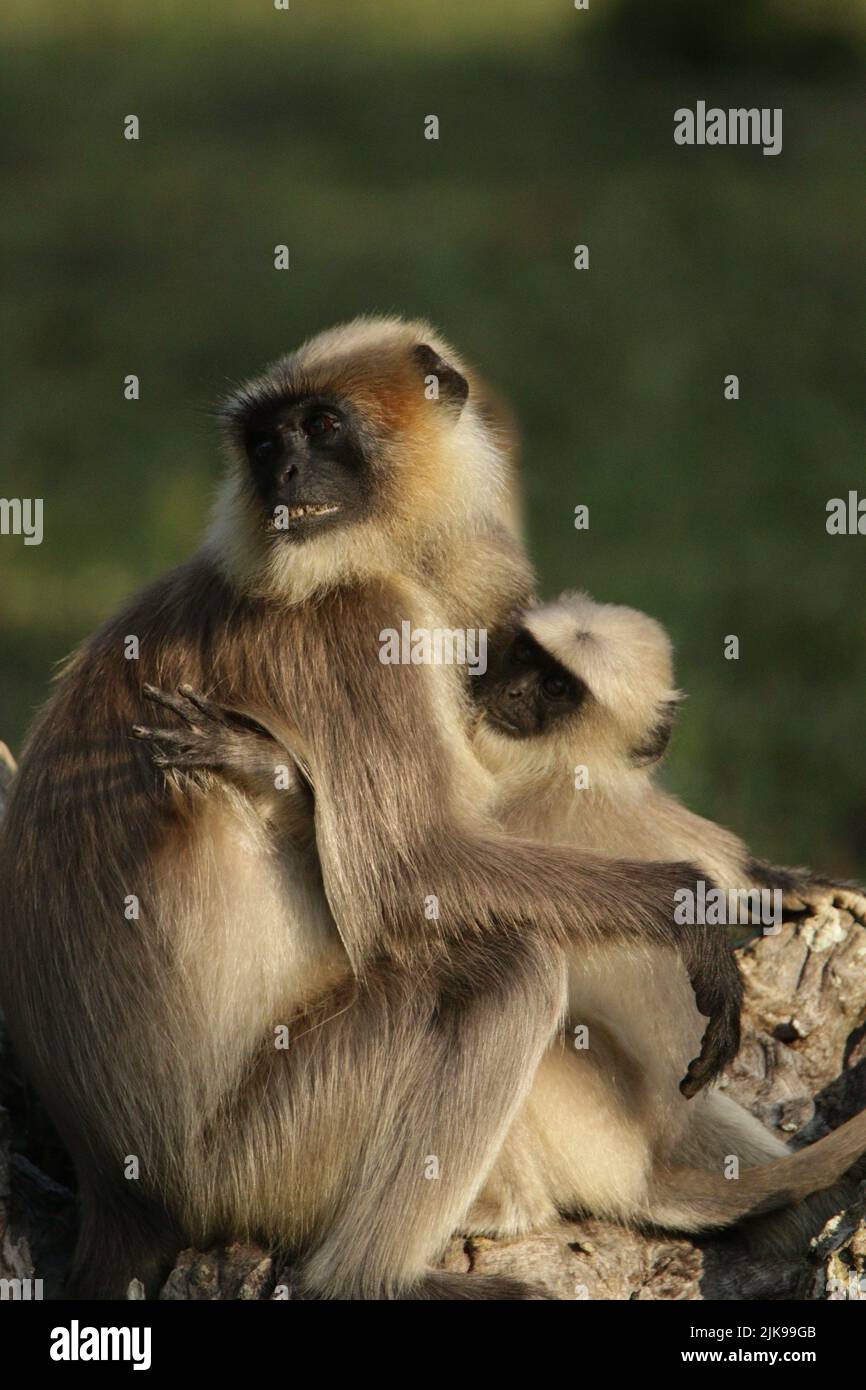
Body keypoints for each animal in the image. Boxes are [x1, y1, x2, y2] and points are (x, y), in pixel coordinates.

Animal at [1, 318, 745, 1301]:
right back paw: (368, 1280)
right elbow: (415, 874)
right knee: (505, 972)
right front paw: (687, 908)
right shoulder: (356, 619)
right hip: (249, 1157)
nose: (281, 473)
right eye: (264, 441)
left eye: (320, 427)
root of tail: (115, 1192)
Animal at [136, 597, 866, 1251]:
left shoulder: (524, 803)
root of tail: (646, 1164)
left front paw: (265, 767)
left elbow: (405, 900)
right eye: (524, 657)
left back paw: (499, 1209)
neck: (567, 770)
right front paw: (789, 884)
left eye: (556, 687)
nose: (505, 690)